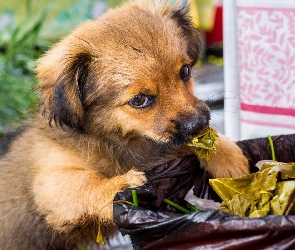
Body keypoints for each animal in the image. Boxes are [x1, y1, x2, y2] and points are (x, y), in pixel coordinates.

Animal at [0, 0, 250, 249]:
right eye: (139, 100)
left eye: (185, 71)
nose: (197, 124)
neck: (119, 139)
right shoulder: (51, 183)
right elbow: (86, 183)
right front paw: (122, 186)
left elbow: (193, 142)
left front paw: (228, 156)